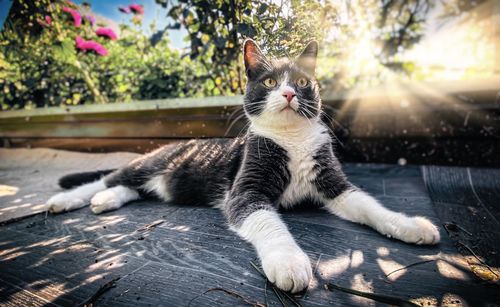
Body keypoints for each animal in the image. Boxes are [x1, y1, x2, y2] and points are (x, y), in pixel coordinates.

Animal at [46, 39, 438, 294]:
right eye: (269, 81)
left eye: (302, 81)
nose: (289, 93)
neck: (292, 140)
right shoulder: (245, 188)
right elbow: (269, 222)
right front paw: (289, 262)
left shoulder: (332, 180)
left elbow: (369, 205)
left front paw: (410, 225)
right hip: (149, 163)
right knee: (109, 178)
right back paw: (67, 200)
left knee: (131, 189)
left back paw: (106, 201)